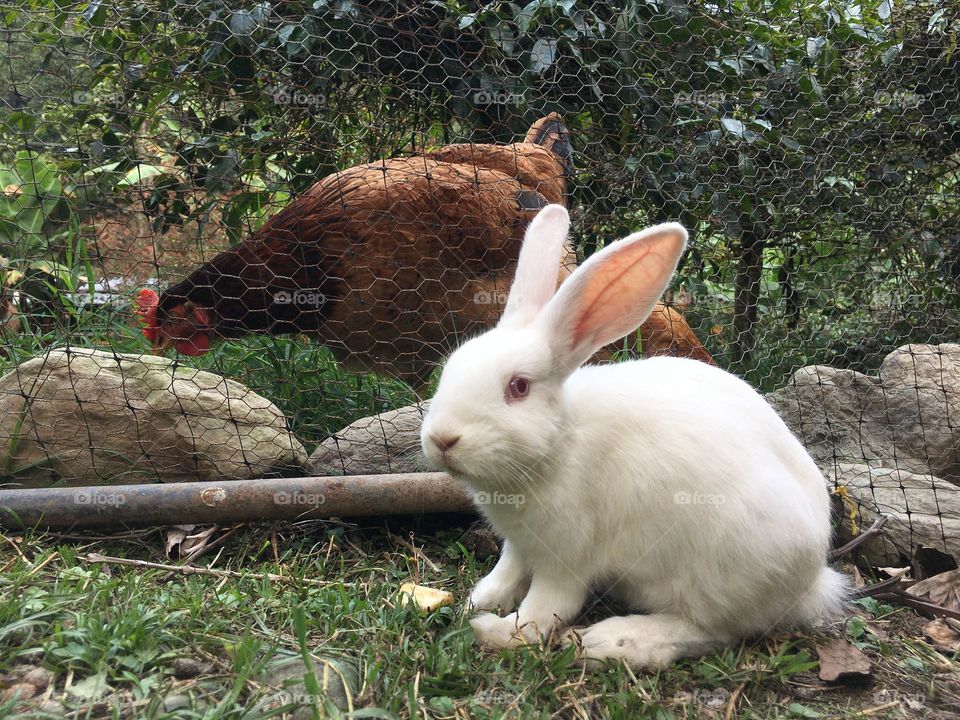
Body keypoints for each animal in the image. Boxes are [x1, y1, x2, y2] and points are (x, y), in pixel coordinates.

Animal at [419, 204, 849, 669]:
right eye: (451, 366)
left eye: (518, 387)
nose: (442, 439)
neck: (559, 445)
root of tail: (812, 579)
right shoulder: (519, 545)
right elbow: (507, 570)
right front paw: (479, 600)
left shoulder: (565, 555)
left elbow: (544, 611)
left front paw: (496, 631)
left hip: (723, 574)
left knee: (714, 630)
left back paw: (613, 640)